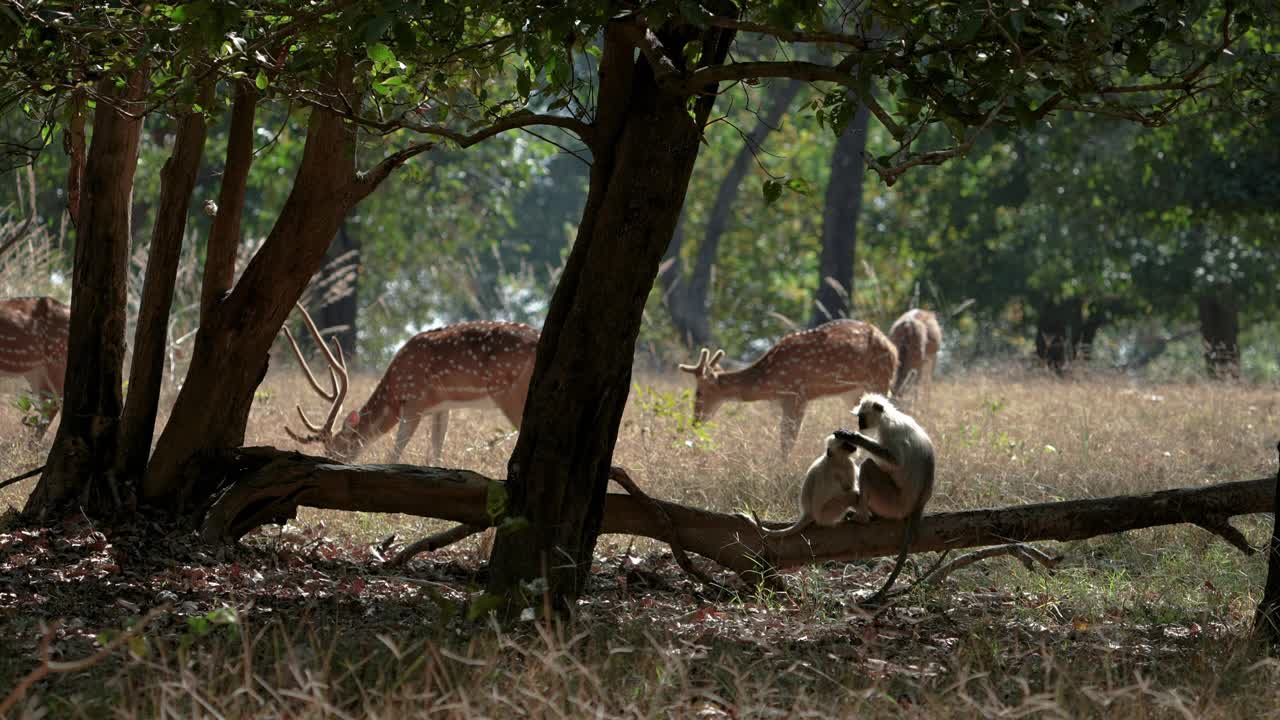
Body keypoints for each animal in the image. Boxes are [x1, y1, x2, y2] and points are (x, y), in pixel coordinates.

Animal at [282, 301, 537, 458]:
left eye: (337, 449)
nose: (332, 462)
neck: (393, 393)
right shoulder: (441, 407)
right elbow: (435, 454)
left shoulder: (415, 400)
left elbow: (394, 455)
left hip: (510, 394)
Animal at [675, 317, 896, 450]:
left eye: (699, 392)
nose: (695, 421)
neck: (770, 381)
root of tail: (893, 348)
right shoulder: (781, 401)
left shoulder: (798, 393)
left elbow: (788, 441)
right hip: (852, 392)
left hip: (880, 379)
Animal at [834, 392, 936, 599]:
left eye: (861, 417)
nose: (859, 424)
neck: (890, 416)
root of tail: (918, 504)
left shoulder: (891, 431)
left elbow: (894, 462)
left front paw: (855, 438)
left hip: (892, 503)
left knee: (868, 466)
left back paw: (862, 518)